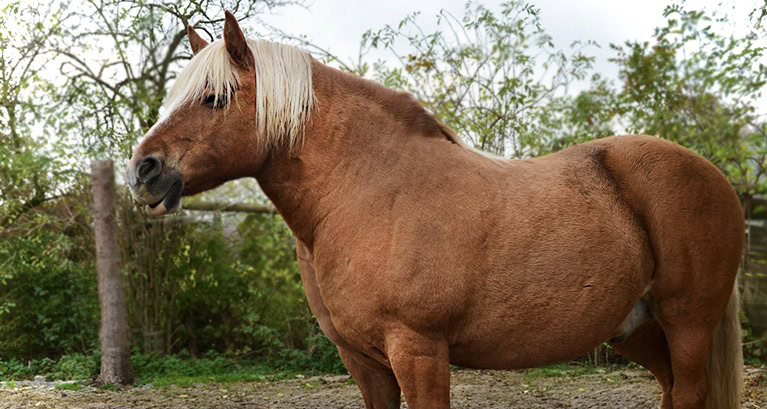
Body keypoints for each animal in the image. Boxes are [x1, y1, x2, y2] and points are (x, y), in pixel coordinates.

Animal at [129, 11, 748, 406]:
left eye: (215, 98)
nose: (144, 171)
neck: (366, 192)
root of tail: (714, 176)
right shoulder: (363, 362)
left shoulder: (419, 351)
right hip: (639, 329)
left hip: (688, 323)